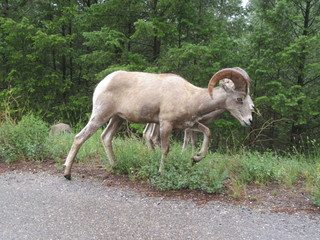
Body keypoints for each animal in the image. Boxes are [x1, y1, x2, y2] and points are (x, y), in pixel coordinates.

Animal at [64, 66, 255, 179]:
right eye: (239, 99)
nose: (249, 120)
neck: (190, 97)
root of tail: (103, 83)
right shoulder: (166, 124)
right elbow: (165, 149)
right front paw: (162, 172)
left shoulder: (189, 125)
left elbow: (207, 133)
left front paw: (195, 158)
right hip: (100, 115)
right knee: (80, 137)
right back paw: (67, 173)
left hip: (117, 118)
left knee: (106, 137)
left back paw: (115, 167)